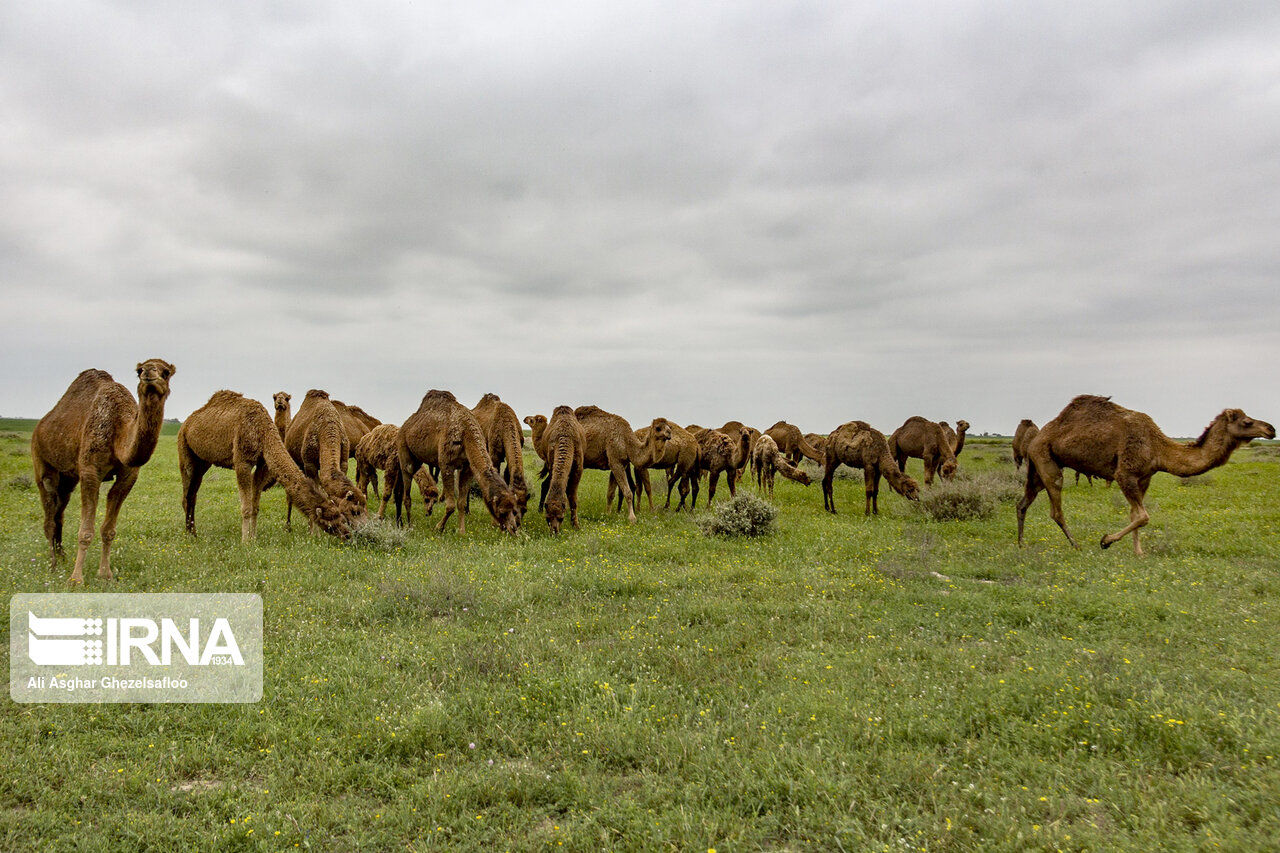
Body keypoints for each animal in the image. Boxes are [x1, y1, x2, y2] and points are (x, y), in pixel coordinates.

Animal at [30, 358, 175, 584]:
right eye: (139, 370)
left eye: (166, 372)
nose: (149, 374)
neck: (119, 429)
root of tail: (40, 426)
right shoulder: (90, 470)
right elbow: (85, 531)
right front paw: (76, 579)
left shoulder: (128, 475)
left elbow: (108, 530)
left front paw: (105, 574)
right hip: (41, 461)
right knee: (49, 514)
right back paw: (53, 565)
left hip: (68, 478)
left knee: (59, 512)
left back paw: (62, 556)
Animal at [177, 389, 353, 537]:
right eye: (331, 518)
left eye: (340, 514)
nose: (347, 534)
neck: (262, 431)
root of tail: (186, 423)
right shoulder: (242, 462)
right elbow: (246, 508)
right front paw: (245, 542)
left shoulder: (262, 464)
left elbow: (255, 506)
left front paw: (253, 538)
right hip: (184, 449)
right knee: (186, 493)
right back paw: (189, 535)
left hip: (202, 461)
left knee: (192, 494)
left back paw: (193, 532)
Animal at [396, 389, 522, 532]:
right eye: (501, 511)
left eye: (514, 510)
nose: (513, 528)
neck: (466, 433)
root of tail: (404, 425)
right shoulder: (446, 465)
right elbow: (451, 505)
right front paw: (439, 527)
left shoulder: (467, 468)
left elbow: (460, 503)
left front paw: (461, 531)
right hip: (403, 448)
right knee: (407, 487)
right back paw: (408, 524)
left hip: (417, 459)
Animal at [537, 404, 586, 532]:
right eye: (548, 518)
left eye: (561, 518)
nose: (554, 531)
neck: (566, 437)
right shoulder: (551, 461)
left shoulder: (578, 469)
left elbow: (572, 497)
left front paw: (576, 525)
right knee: (545, 483)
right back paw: (539, 509)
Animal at [1013, 394, 1274, 555]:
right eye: (1247, 422)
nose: (1271, 429)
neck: (1158, 447)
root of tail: (1036, 438)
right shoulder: (1125, 474)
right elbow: (1143, 516)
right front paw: (1105, 541)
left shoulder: (1144, 477)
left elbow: (1134, 515)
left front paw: (1138, 552)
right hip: (1046, 460)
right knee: (1056, 509)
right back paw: (1076, 545)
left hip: (1038, 467)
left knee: (1023, 502)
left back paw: (1021, 543)